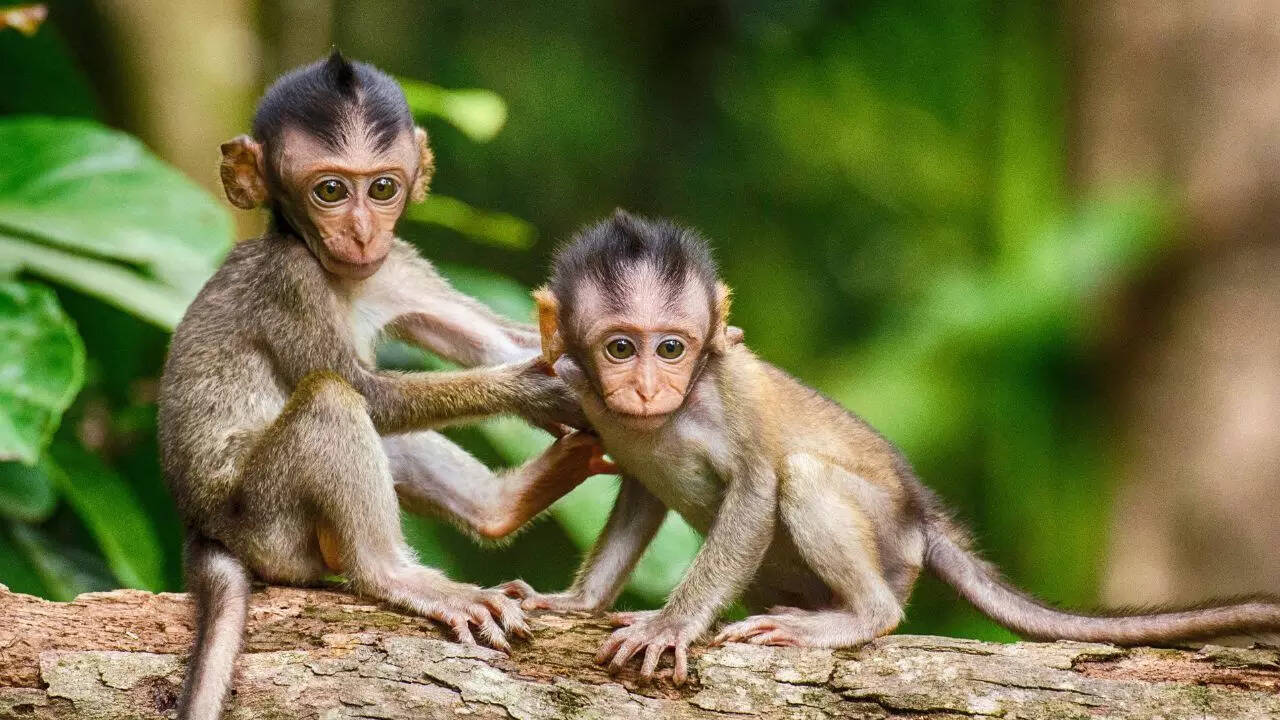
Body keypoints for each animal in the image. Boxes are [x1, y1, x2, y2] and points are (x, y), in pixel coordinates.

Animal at [159, 52, 611, 720]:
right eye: (329, 190)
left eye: (381, 188)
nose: (361, 232)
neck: (338, 274)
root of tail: (203, 529)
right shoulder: (289, 281)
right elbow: (364, 391)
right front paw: (535, 390)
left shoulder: (397, 264)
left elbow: (496, 341)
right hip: (268, 526)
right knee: (331, 400)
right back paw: (396, 576)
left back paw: (501, 507)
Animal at [502, 209, 1280, 686]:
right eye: (620, 348)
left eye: (671, 348)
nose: (645, 388)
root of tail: (921, 518)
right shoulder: (590, 401)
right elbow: (638, 492)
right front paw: (575, 602)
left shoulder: (727, 392)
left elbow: (756, 487)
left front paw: (671, 624)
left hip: (888, 541)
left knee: (805, 477)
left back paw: (859, 617)